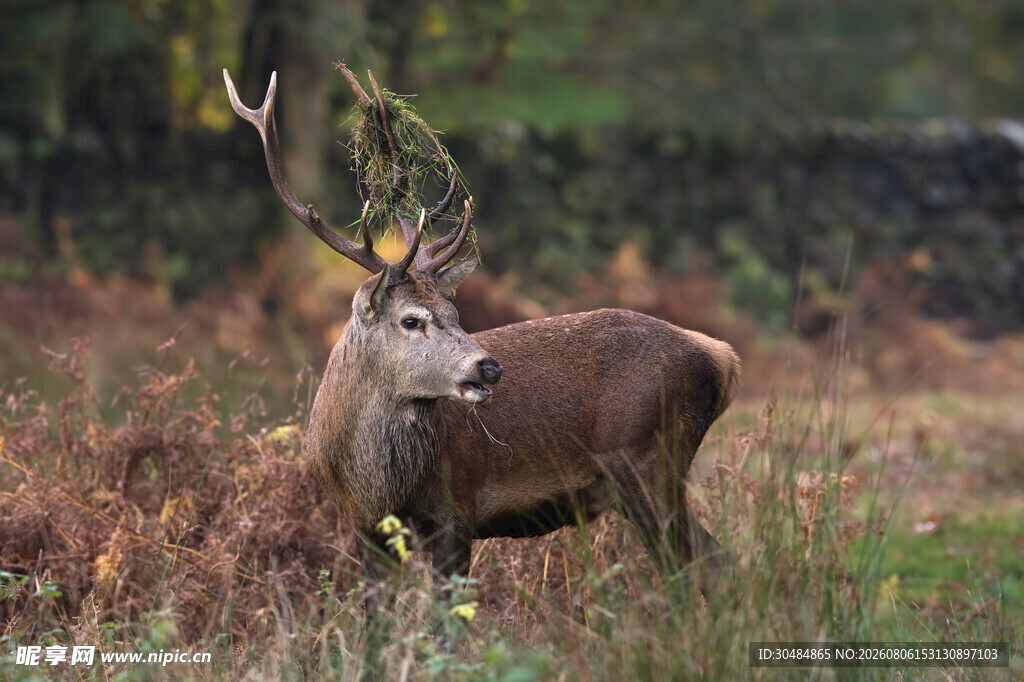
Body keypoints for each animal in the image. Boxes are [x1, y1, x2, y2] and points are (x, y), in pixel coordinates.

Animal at [224, 66, 741, 611]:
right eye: (412, 320)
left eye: (456, 312)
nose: (488, 367)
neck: (374, 483)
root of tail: (723, 358)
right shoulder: (365, 529)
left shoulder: (457, 510)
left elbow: (448, 618)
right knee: (712, 563)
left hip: (650, 461)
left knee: (700, 565)